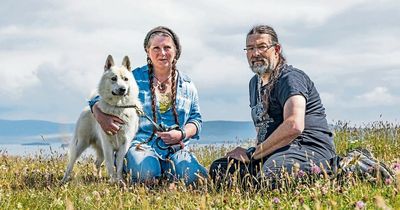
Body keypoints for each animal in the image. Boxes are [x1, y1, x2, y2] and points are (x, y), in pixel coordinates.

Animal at [61, 55, 141, 183]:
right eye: (113, 78)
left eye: (126, 79)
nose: (123, 89)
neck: (117, 108)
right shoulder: (107, 145)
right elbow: (110, 164)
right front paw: (113, 181)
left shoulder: (124, 144)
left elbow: (119, 165)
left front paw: (119, 181)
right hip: (81, 144)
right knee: (71, 164)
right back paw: (64, 180)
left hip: (100, 149)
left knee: (97, 163)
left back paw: (98, 178)